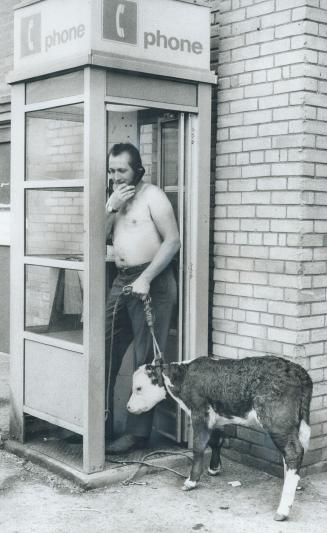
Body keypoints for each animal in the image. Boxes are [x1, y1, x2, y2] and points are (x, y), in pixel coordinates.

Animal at [127, 354, 312, 520]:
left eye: (139, 388)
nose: (128, 407)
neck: (183, 377)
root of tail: (298, 371)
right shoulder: (216, 418)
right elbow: (216, 441)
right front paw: (214, 468)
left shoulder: (200, 413)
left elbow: (199, 446)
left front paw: (191, 481)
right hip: (299, 424)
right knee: (296, 452)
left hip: (277, 422)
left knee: (293, 452)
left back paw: (283, 510)